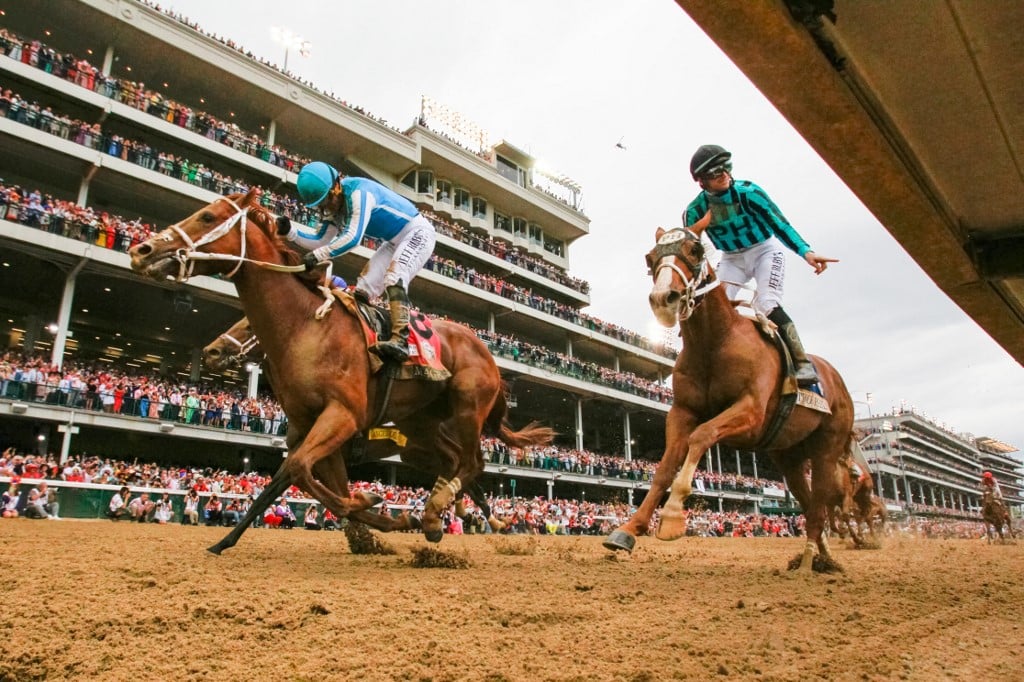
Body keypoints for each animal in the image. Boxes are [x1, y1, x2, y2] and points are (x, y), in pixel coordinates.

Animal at [132, 187, 557, 552]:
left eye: (207, 217)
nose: (142, 249)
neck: (307, 327)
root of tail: (487, 352)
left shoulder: (343, 416)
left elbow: (302, 477)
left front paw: (378, 512)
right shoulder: (310, 430)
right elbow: (290, 483)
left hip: (468, 406)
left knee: (473, 463)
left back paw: (453, 514)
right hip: (420, 432)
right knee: (458, 465)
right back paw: (445, 515)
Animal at [598, 227, 856, 569]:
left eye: (694, 250)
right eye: (650, 257)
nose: (663, 299)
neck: (715, 342)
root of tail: (838, 381)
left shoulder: (751, 412)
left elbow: (701, 436)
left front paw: (672, 516)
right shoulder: (682, 411)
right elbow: (665, 465)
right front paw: (629, 529)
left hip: (827, 446)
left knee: (819, 502)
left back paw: (807, 561)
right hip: (788, 454)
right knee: (808, 500)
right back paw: (820, 558)